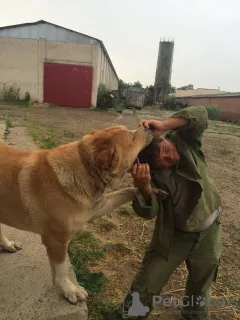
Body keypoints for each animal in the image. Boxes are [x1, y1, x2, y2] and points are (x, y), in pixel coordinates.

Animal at [0, 124, 153, 304]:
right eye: (133, 138)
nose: (148, 126)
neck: (85, 166)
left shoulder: (98, 206)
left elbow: (127, 191)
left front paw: (148, 191)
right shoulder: (57, 240)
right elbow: (61, 269)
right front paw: (69, 289)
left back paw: (7, 244)